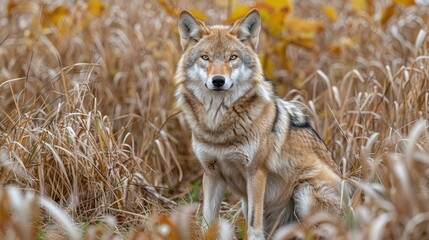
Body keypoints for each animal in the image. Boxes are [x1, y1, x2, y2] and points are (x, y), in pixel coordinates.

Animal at [174, 8, 342, 239]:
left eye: (232, 57)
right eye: (205, 58)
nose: (218, 80)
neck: (218, 127)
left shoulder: (256, 173)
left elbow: (254, 224)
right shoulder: (211, 173)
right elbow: (208, 221)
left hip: (304, 192)